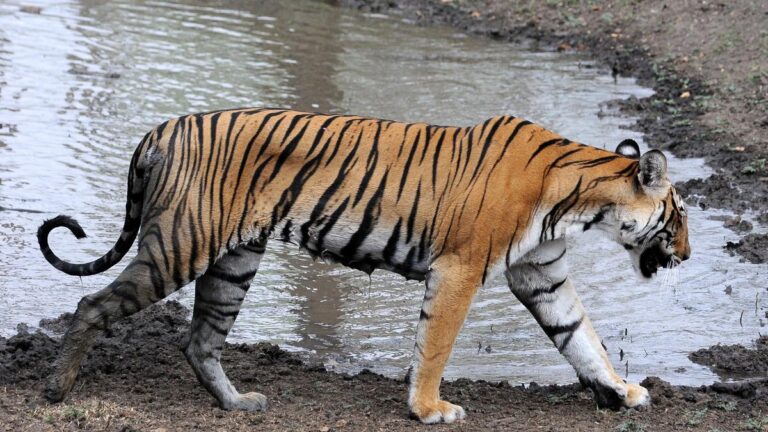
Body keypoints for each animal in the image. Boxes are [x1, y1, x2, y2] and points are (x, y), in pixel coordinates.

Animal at [38, 108, 690, 424]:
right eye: (679, 215)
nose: (685, 254)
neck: (578, 204)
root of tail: (163, 126)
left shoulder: (542, 275)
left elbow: (583, 339)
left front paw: (621, 391)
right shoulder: (459, 269)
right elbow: (435, 346)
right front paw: (428, 410)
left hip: (234, 261)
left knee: (200, 341)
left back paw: (238, 404)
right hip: (181, 243)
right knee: (92, 304)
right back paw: (55, 390)